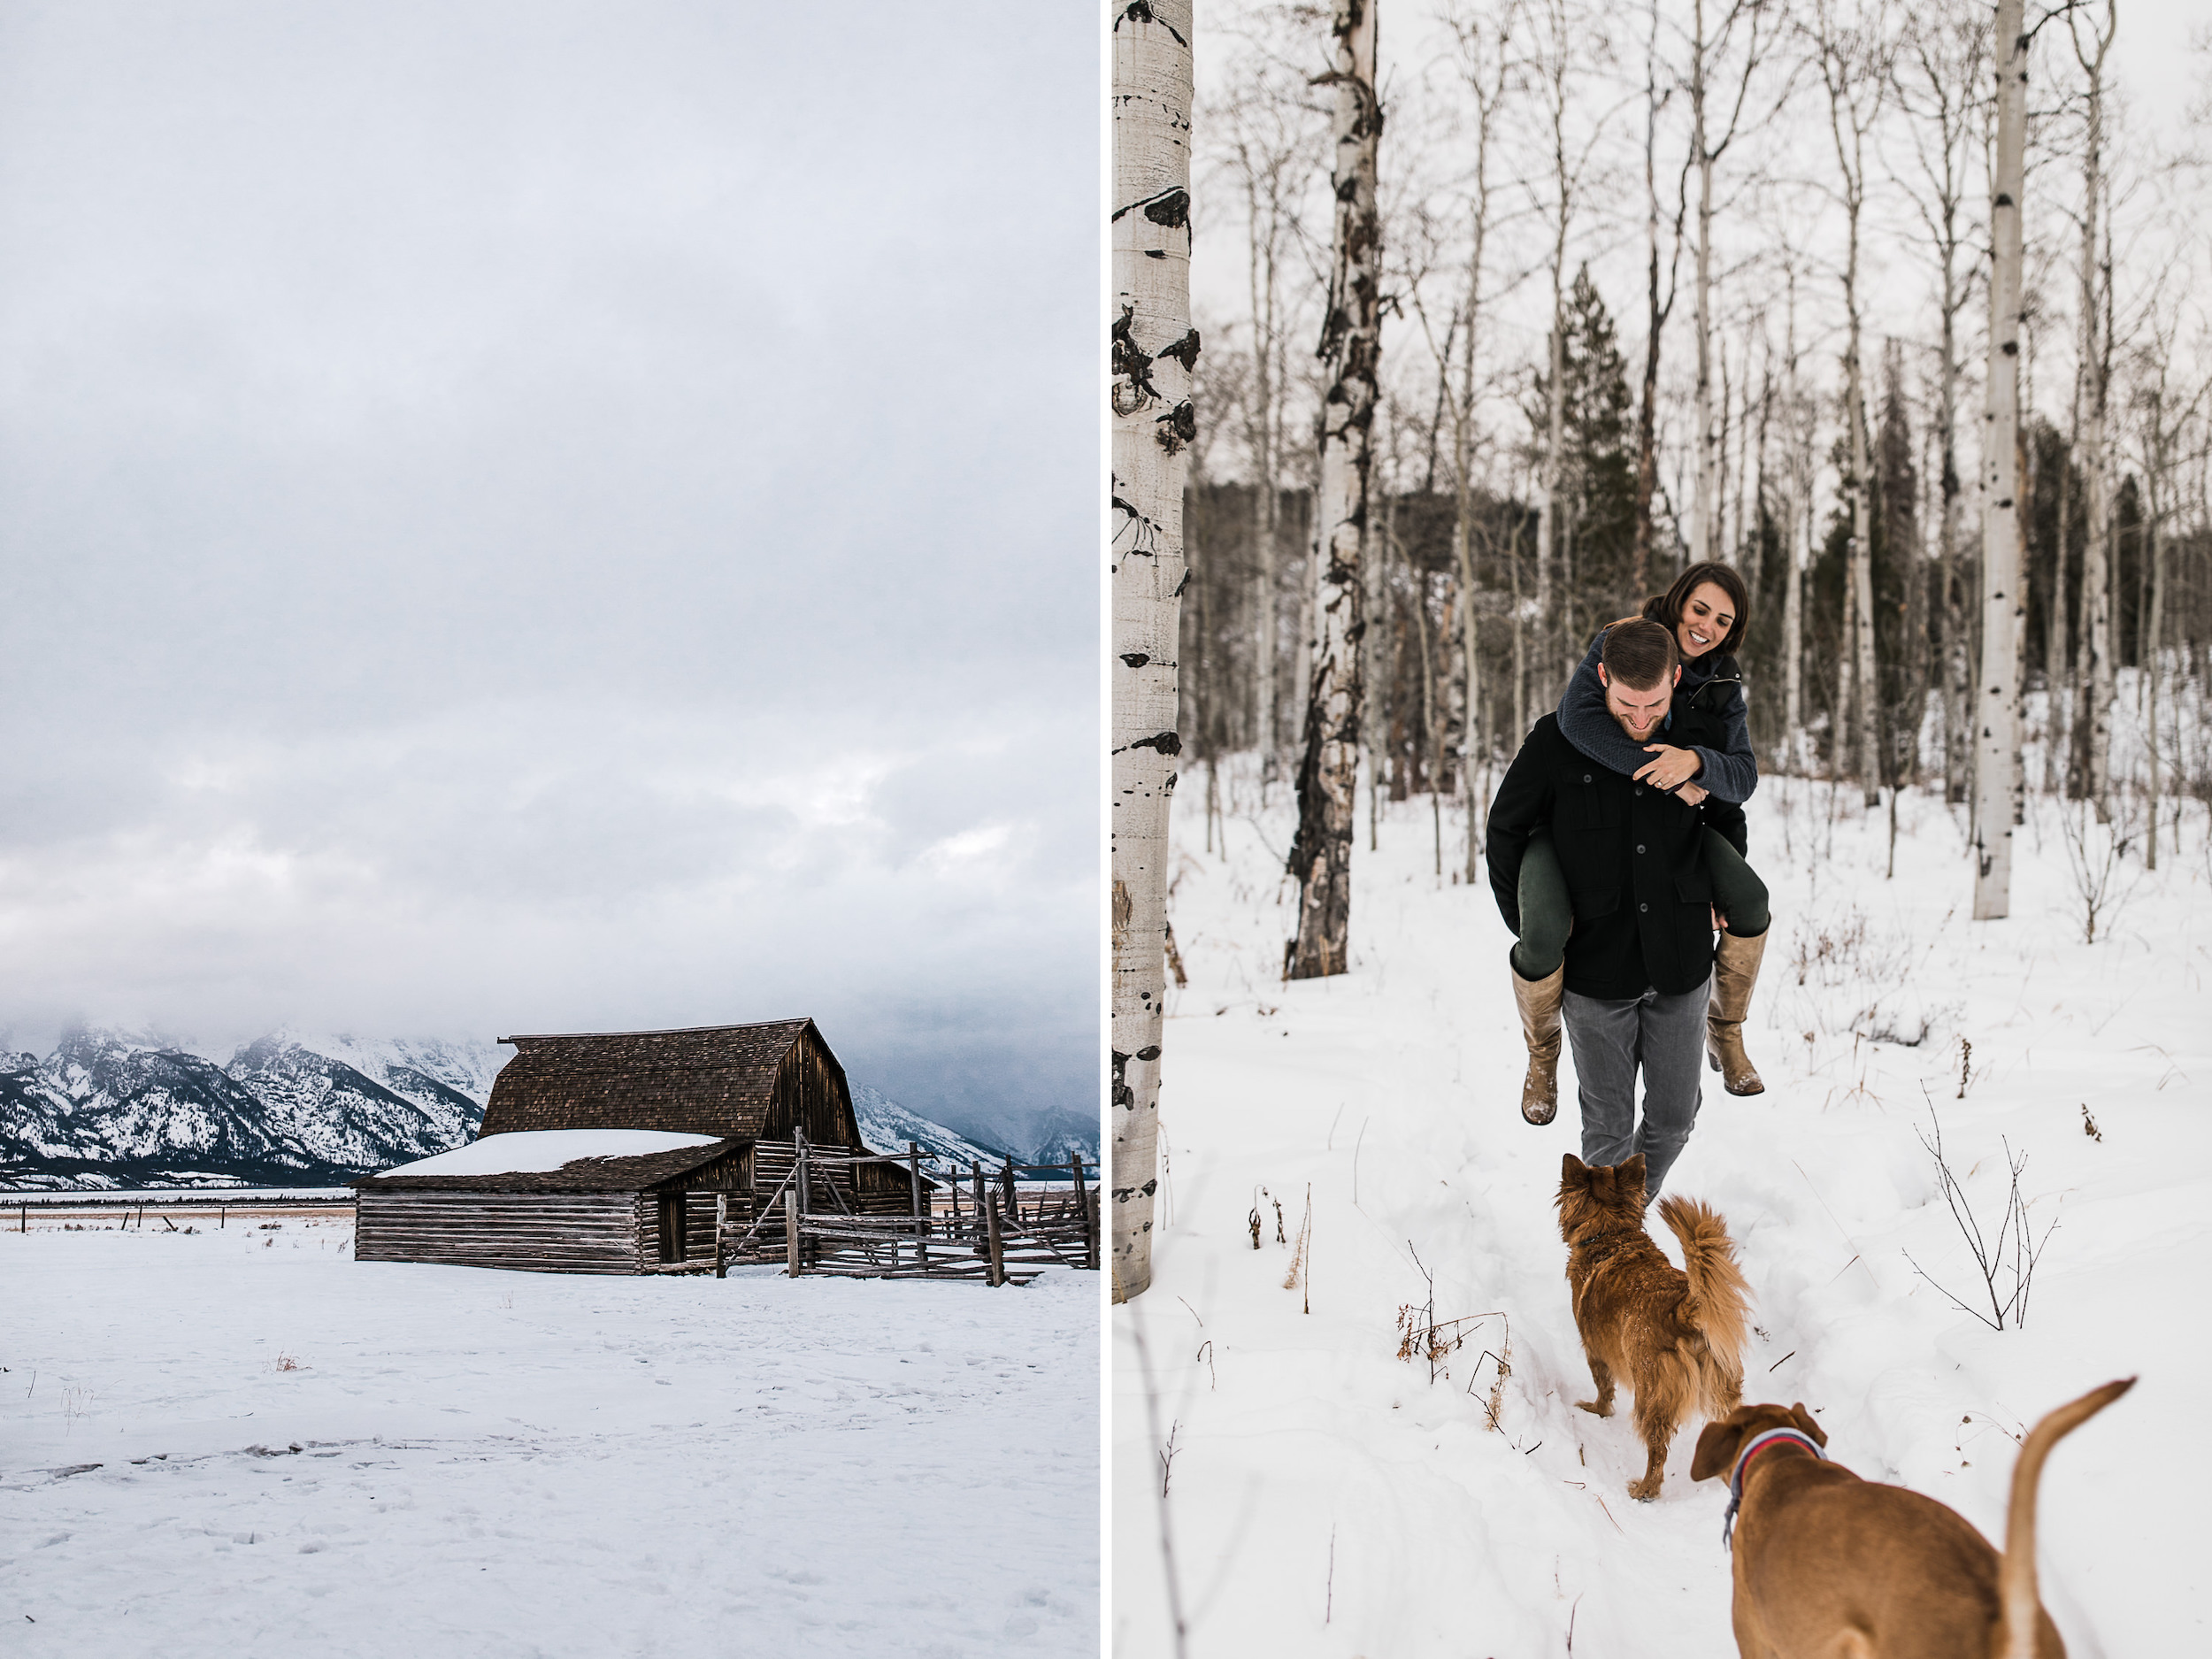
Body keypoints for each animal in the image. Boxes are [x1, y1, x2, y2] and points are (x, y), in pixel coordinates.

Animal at [1557, 1159, 1743, 1504]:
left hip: (1650, 1392)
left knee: (1657, 1450)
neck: (1611, 1236)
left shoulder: (1595, 1349)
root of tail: (1682, 1309)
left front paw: (1596, 1411)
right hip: (1724, 1390)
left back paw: (1645, 1490)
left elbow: (1603, 1387)